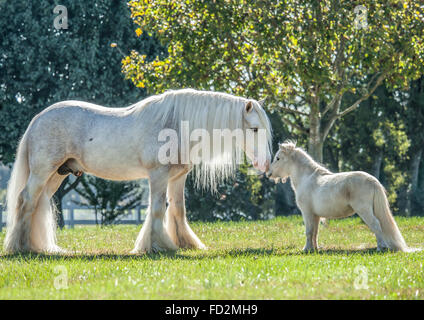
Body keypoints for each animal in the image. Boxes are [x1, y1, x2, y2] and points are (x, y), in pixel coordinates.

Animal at [3, 89, 272, 254]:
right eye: (254, 129)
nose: (266, 163)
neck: (175, 124)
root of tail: (37, 119)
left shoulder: (177, 177)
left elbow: (177, 209)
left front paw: (186, 243)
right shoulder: (158, 175)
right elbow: (157, 209)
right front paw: (157, 246)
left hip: (55, 175)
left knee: (37, 204)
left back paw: (36, 245)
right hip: (42, 172)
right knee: (26, 201)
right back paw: (20, 246)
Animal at [268, 141, 410, 251]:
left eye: (278, 158)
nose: (269, 173)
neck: (307, 178)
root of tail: (373, 181)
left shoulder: (307, 213)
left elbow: (308, 231)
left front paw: (306, 249)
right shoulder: (315, 215)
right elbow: (315, 232)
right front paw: (314, 249)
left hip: (364, 210)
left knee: (375, 224)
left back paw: (381, 247)